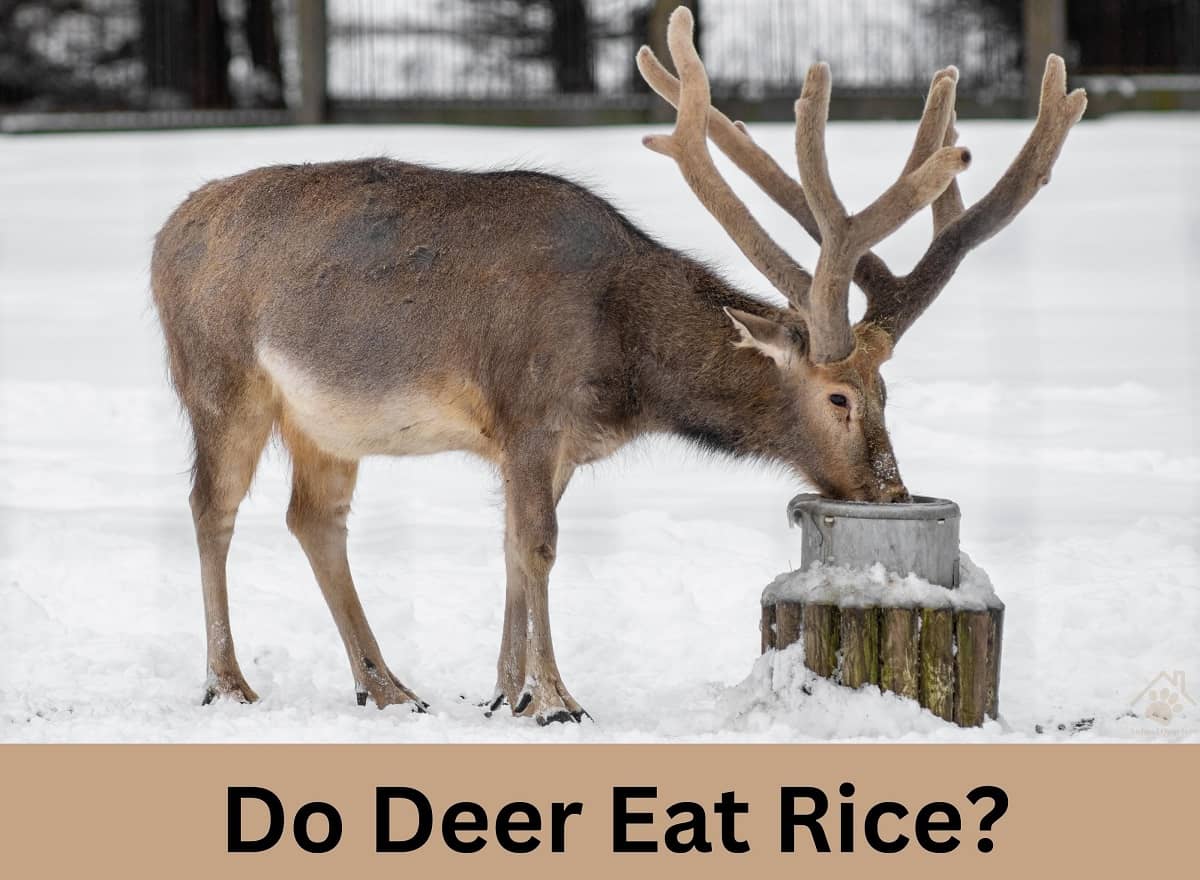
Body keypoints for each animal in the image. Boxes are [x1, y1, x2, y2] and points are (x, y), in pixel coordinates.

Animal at [150, 8, 1085, 724]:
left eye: (888, 388)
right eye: (839, 397)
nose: (890, 491)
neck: (625, 363)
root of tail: (163, 237)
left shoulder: (554, 445)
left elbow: (510, 551)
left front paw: (503, 694)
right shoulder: (528, 413)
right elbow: (538, 548)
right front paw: (556, 698)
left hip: (325, 422)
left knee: (314, 520)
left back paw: (386, 687)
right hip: (219, 378)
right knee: (210, 509)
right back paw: (229, 682)